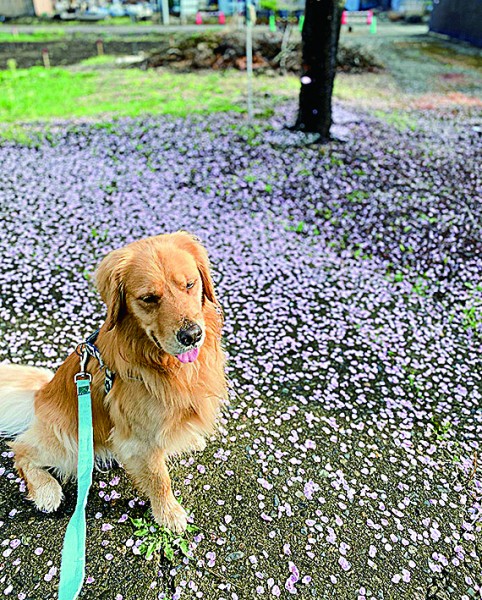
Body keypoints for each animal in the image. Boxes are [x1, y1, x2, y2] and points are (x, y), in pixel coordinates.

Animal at [0, 232, 226, 532]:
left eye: (189, 284)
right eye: (149, 298)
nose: (191, 335)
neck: (164, 364)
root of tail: (41, 393)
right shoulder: (141, 438)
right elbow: (159, 479)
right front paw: (169, 513)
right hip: (68, 439)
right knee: (21, 450)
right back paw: (47, 491)